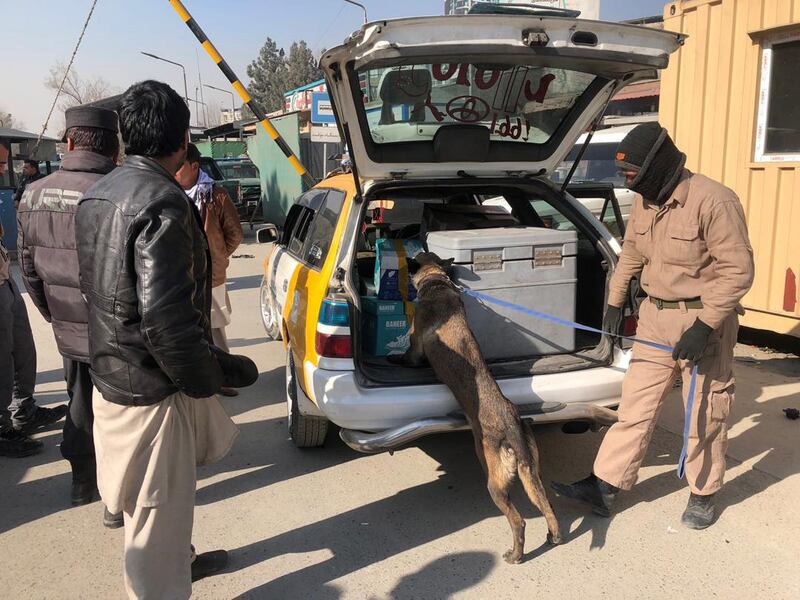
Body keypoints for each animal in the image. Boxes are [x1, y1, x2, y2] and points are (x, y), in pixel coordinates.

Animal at [400, 252, 564, 564]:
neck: (437, 284)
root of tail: (510, 422)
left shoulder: (414, 348)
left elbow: (407, 355)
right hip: (531, 473)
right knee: (547, 505)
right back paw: (554, 536)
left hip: (495, 481)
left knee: (518, 521)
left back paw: (516, 555)